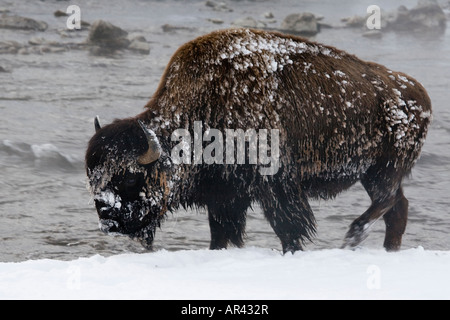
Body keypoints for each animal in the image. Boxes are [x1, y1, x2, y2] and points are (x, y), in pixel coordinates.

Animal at [85, 28, 432, 252]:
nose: (106, 217)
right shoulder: (224, 196)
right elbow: (222, 234)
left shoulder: (276, 187)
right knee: (397, 208)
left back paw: (352, 237)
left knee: (387, 202)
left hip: (384, 169)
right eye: (92, 177)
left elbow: (289, 226)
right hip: (374, 174)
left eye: (131, 177)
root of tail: (417, 91)